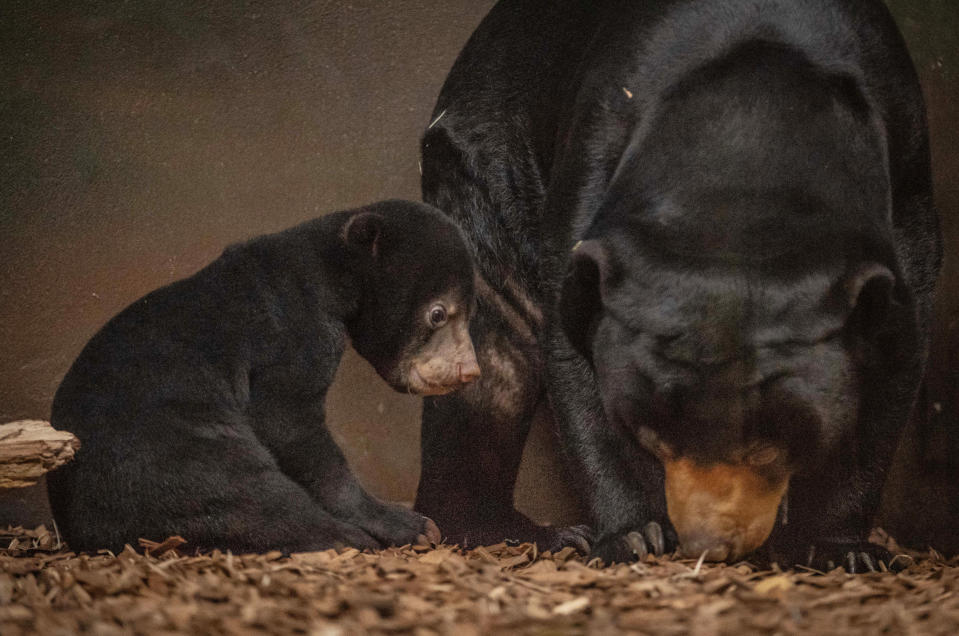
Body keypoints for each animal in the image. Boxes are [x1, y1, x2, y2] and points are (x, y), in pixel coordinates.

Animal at [47, 201, 480, 556]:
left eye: (470, 311)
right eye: (438, 314)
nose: (470, 370)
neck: (328, 274)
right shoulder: (293, 338)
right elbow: (289, 424)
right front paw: (412, 525)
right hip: (169, 452)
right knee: (243, 493)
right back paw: (350, 538)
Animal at [416, 0, 940, 572]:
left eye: (773, 444)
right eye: (655, 436)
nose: (710, 541)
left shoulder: (906, 189)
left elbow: (889, 381)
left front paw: (845, 551)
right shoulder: (593, 159)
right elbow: (577, 367)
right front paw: (634, 536)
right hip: (480, 182)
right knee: (492, 362)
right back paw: (536, 535)